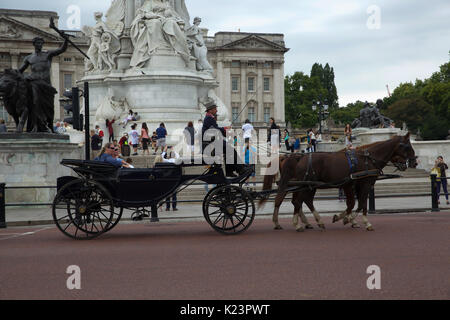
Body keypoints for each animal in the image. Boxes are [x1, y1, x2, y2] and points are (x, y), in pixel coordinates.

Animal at [260, 134, 418, 231]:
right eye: (408, 147)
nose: (414, 162)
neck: (368, 158)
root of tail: (299, 157)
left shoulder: (351, 185)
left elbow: (353, 204)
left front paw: (347, 219)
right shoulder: (362, 184)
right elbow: (359, 203)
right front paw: (358, 221)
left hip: (307, 185)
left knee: (300, 201)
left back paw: (311, 222)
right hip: (305, 185)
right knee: (296, 201)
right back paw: (296, 224)